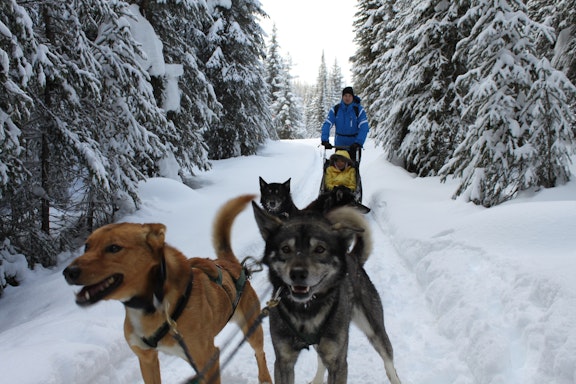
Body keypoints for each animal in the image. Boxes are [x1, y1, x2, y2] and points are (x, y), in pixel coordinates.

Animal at [62, 195, 274, 384]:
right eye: (86, 246)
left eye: (114, 248)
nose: (69, 272)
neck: (154, 304)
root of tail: (231, 264)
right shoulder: (147, 359)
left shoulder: (208, 359)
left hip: (252, 329)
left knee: (260, 353)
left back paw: (265, 377)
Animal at [252, 202, 400, 384]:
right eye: (285, 248)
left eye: (320, 249)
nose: (297, 273)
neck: (306, 310)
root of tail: (353, 257)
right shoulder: (283, 361)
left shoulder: (338, 362)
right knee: (321, 360)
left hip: (375, 330)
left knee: (389, 361)